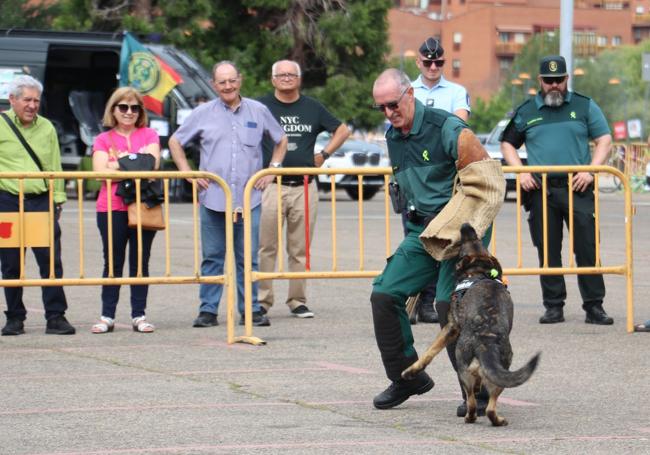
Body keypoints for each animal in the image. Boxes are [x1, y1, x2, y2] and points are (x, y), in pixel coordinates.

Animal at [400, 224, 536, 428]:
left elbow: (429, 352)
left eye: (466, 243)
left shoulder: (451, 327)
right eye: (478, 241)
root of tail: (486, 339)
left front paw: (411, 371)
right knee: (486, 403)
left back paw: (476, 417)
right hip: (499, 370)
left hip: (464, 363)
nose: (466, 225)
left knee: (476, 403)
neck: (479, 273)